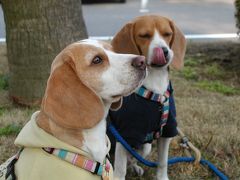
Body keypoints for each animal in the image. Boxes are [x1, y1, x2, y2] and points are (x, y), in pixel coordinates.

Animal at [109, 14, 188, 179]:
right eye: (144, 35)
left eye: (167, 34)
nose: (164, 51)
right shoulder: (123, 135)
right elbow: (120, 170)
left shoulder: (167, 131)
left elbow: (163, 163)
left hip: (145, 146)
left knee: (133, 158)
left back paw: (136, 167)